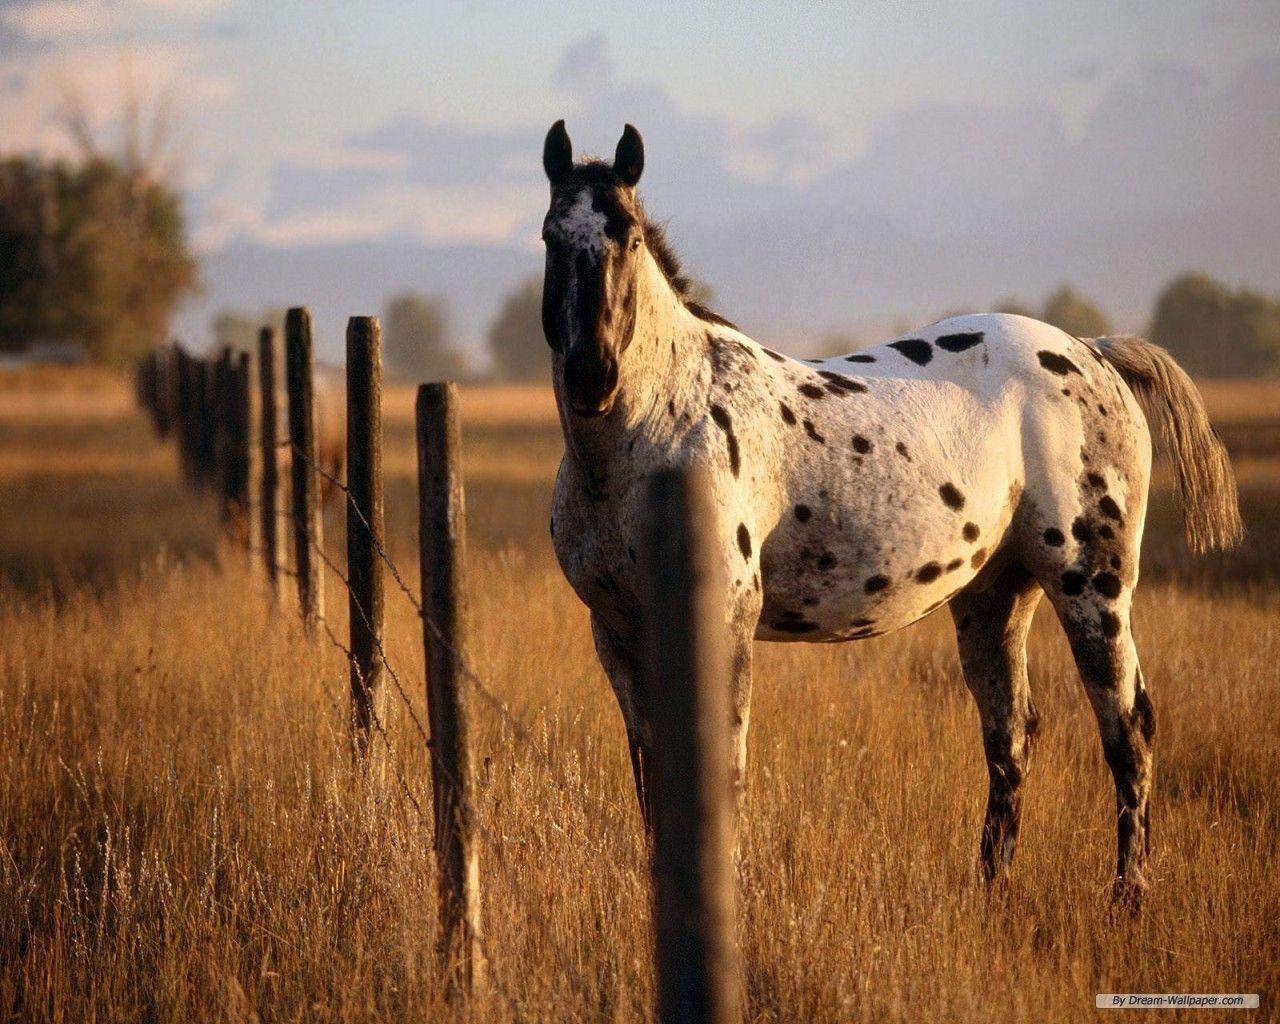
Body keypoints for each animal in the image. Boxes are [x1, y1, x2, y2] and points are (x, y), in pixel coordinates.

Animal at [539, 120, 1242, 902]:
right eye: (550, 236)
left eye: (628, 237)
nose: (591, 376)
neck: (660, 429)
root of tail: (1094, 351)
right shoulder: (618, 634)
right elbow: (649, 775)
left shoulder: (725, 622)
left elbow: (723, 768)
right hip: (995, 595)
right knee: (1012, 736)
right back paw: (991, 890)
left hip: (1093, 585)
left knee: (1129, 729)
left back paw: (1127, 899)